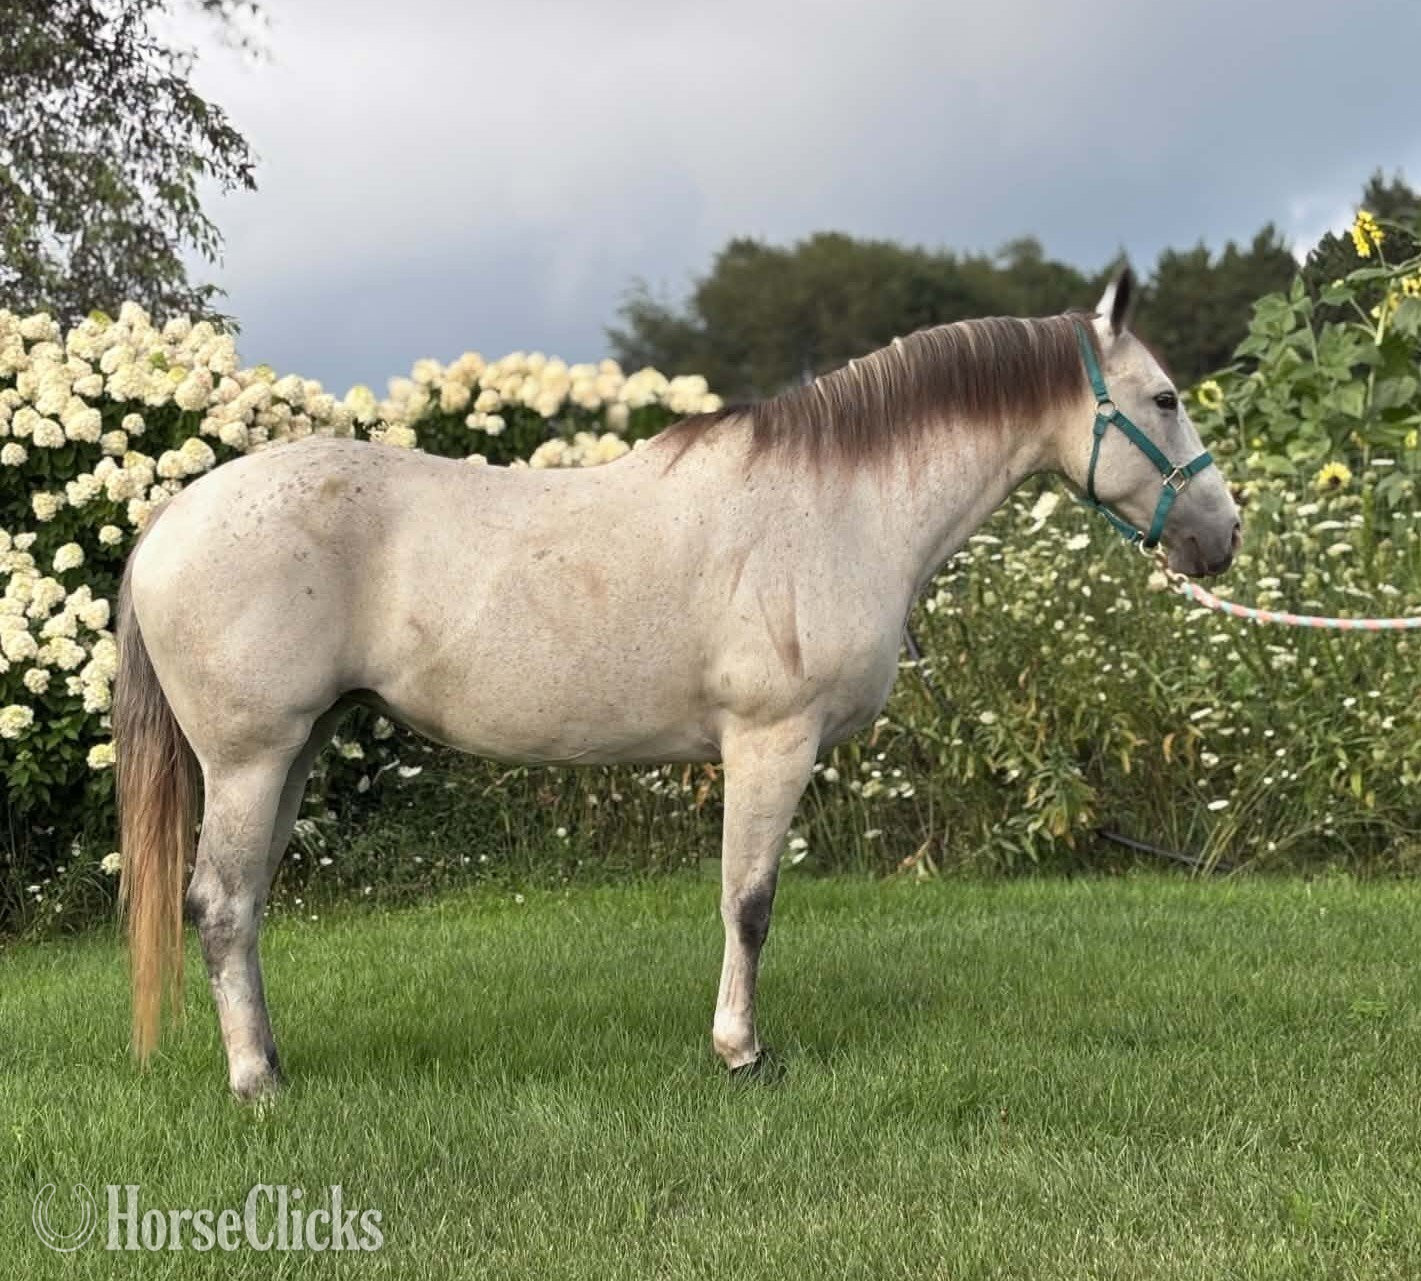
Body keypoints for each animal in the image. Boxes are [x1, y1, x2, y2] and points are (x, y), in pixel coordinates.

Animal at [114, 267, 1240, 1098]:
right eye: (1165, 399)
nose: (1219, 536)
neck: (836, 507)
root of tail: (170, 520)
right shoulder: (770, 741)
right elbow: (749, 901)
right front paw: (741, 1051)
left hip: (291, 752)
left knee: (245, 903)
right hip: (251, 758)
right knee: (220, 904)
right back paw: (256, 1082)